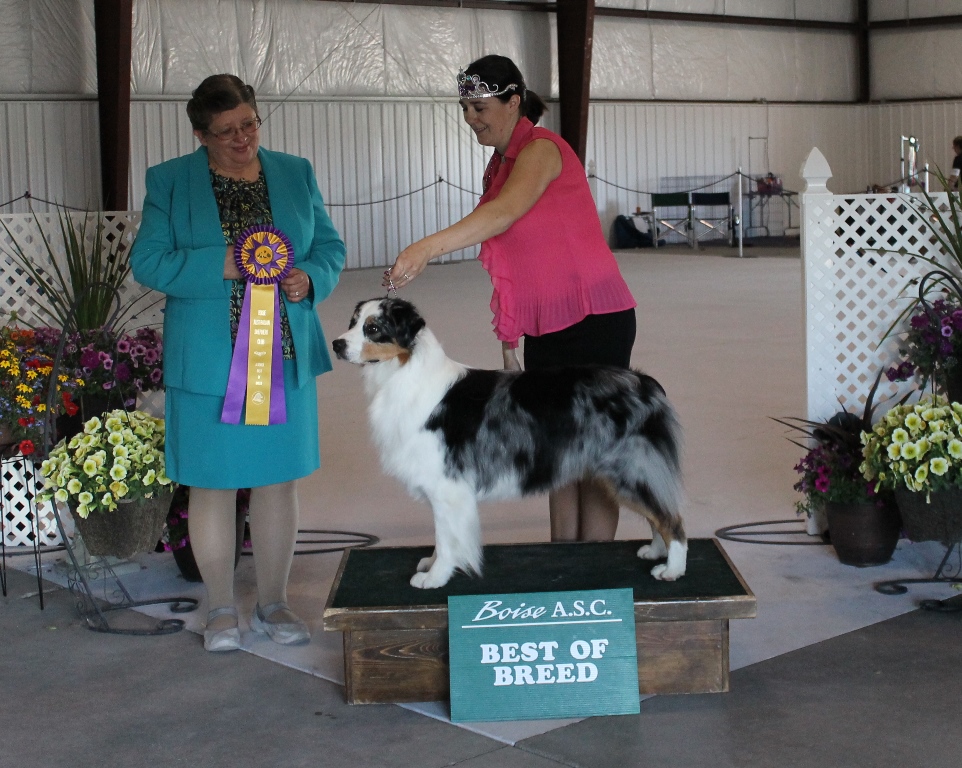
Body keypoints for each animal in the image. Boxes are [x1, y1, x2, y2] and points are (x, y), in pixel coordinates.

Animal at [332, 297, 686, 589]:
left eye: (373, 328)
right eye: (352, 322)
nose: (336, 344)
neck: (403, 372)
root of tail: (645, 382)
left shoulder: (447, 484)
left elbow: (447, 537)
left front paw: (435, 577)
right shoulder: (440, 486)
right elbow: (441, 533)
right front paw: (433, 564)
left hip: (630, 469)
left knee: (672, 519)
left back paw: (672, 569)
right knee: (659, 513)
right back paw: (655, 552)